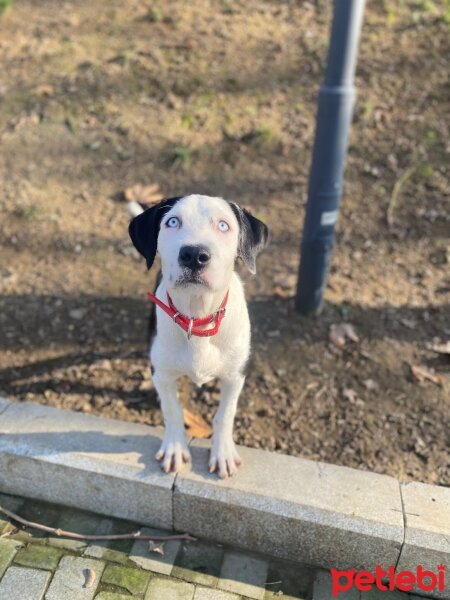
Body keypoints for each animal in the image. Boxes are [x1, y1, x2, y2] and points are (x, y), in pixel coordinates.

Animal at [127, 196, 268, 478]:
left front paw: (223, 453)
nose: (194, 255)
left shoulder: (236, 376)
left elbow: (225, 415)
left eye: (223, 225)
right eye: (172, 222)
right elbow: (172, 410)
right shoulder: (162, 373)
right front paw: (174, 449)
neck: (197, 317)